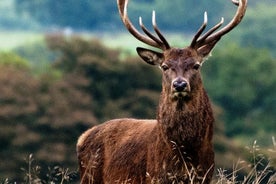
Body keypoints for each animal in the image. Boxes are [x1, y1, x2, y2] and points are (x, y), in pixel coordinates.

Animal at [76, 0, 247, 183]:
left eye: (196, 65)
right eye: (164, 66)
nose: (179, 84)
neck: (185, 156)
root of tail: (81, 138)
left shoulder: (205, 175)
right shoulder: (155, 176)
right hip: (89, 176)